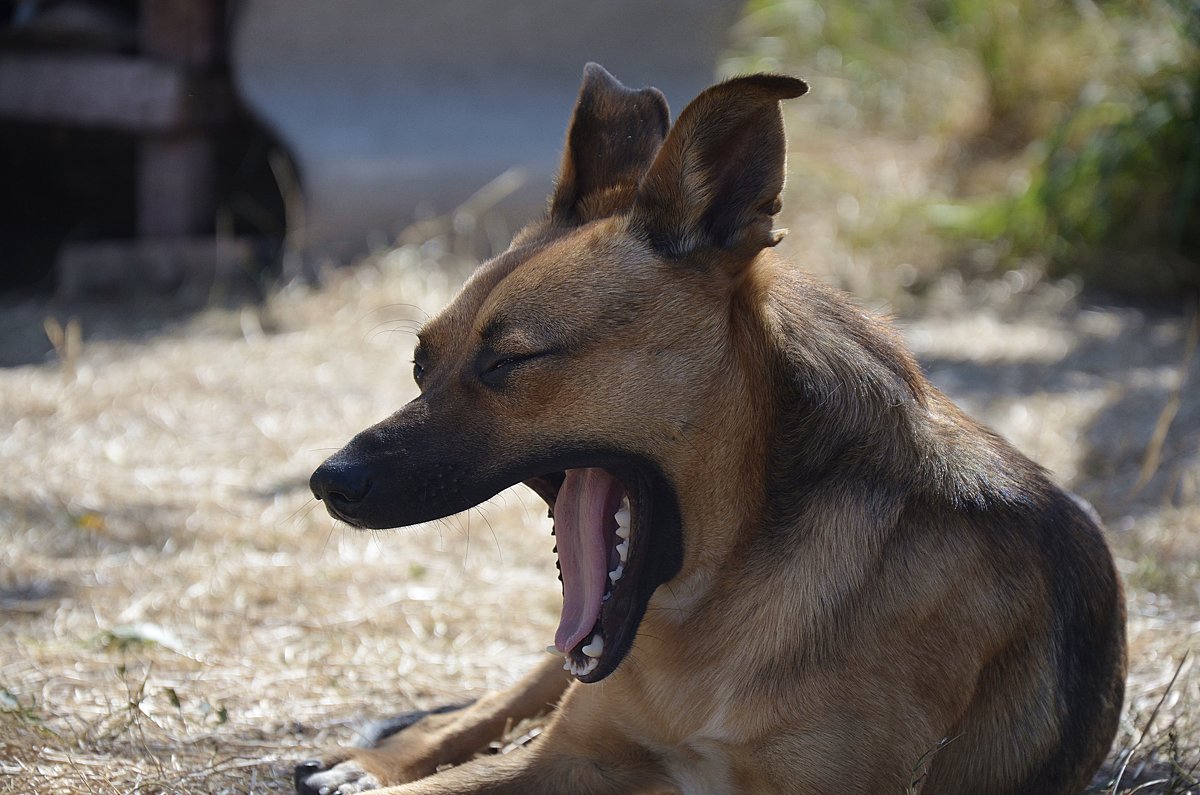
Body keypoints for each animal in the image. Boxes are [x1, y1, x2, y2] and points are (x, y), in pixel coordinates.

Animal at [297, 63, 1123, 795]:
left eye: (509, 361)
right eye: (420, 364)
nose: (328, 481)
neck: (715, 595)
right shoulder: (566, 755)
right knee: (487, 707)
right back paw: (370, 761)